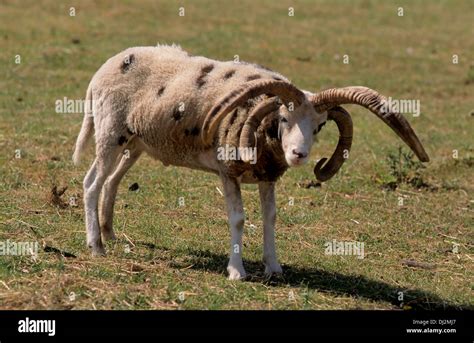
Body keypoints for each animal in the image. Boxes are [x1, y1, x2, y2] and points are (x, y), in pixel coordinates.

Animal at [71, 44, 430, 280]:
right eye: (283, 118)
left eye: (319, 126)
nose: (299, 155)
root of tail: (107, 66)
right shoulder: (228, 172)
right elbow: (239, 219)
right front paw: (237, 271)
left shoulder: (267, 175)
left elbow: (270, 218)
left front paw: (274, 268)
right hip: (110, 133)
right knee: (92, 183)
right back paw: (96, 246)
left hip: (135, 143)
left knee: (112, 181)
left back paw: (109, 233)